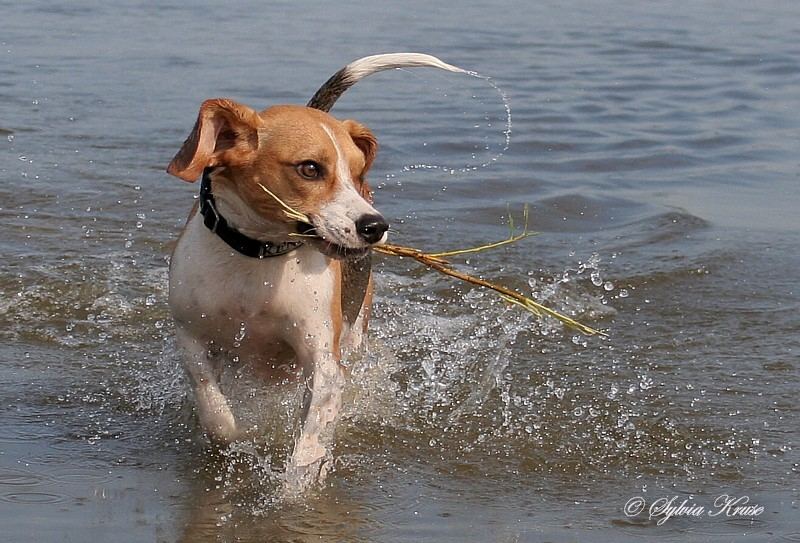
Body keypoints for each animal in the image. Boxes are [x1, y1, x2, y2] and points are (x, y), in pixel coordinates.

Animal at [166, 52, 462, 484]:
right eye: (309, 168)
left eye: (356, 172)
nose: (374, 226)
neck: (259, 257)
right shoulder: (192, 338)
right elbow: (217, 414)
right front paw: (235, 436)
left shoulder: (321, 360)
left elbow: (309, 440)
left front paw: (302, 477)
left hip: (354, 331)